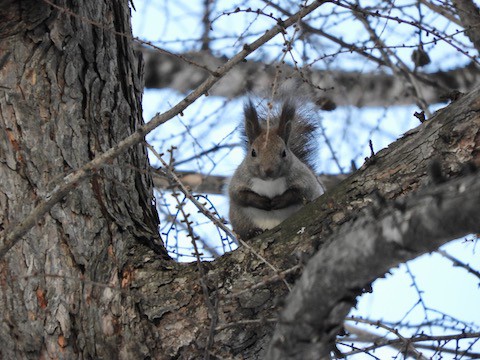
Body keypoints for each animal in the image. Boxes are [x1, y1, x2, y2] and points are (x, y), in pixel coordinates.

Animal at [228, 98, 324, 239]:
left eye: (284, 152)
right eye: (253, 152)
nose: (268, 170)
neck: (269, 182)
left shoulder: (305, 178)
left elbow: (299, 192)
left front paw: (278, 201)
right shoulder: (239, 179)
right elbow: (239, 195)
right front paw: (262, 202)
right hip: (240, 220)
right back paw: (252, 233)